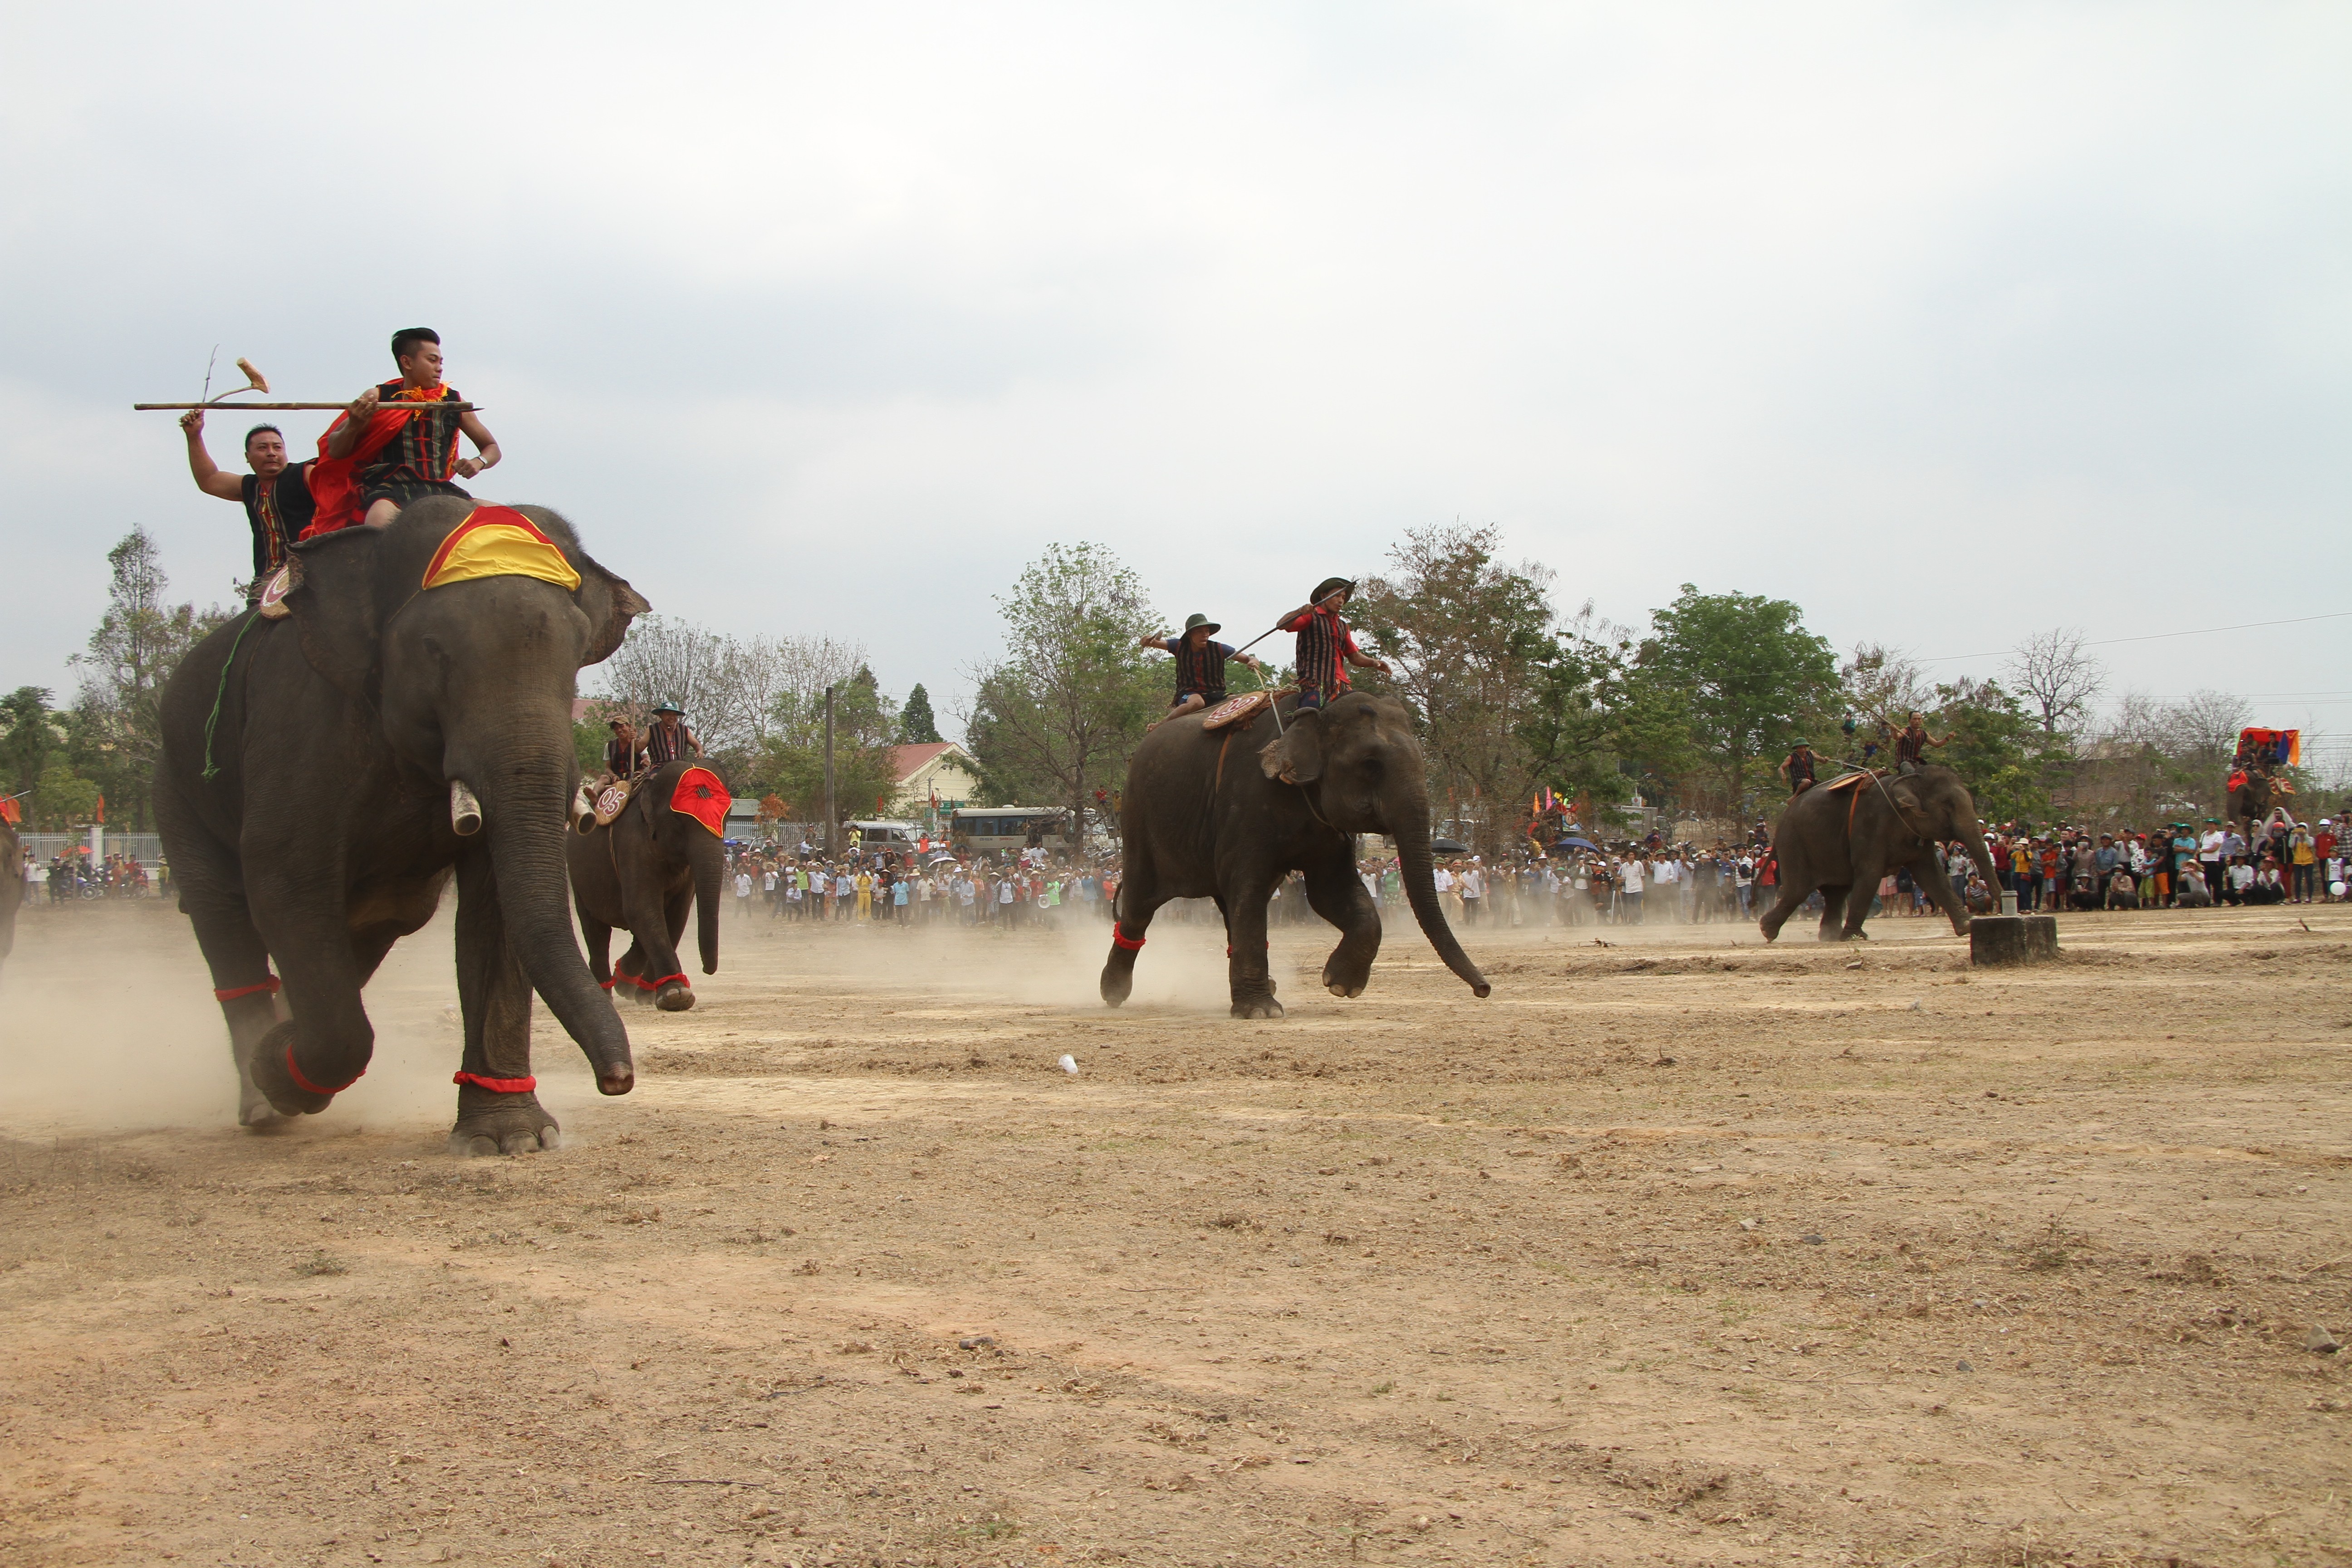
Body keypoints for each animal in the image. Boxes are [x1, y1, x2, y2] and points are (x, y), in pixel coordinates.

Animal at [154, 503, 654, 1152]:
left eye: (574, 658)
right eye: (434, 649)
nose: (618, 1080)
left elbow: (494, 906)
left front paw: (512, 1140)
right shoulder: (297, 721)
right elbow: (285, 882)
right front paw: (276, 1070)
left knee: (371, 927)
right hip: (176, 787)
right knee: (224, 915)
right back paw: (263, 1097)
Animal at [562, 761, 724, 1020]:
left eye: (726, 817)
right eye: (679, 820)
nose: (707, 970)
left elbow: (676, 915)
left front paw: (644, 992)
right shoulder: (631, 843)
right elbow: (641, 909)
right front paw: (676, 996)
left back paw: (625, 983)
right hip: (577, 876)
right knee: (595, 929)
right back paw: (605, 990)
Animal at [1096, 691, 1486, 1020]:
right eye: (1370, 764)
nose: (1484, 989)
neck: (1314, 716)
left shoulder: (1329, 830)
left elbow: (1330, 894)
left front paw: (1340, 985)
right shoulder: (1247, 801)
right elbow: (1252, 889)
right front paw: (1262, 1013)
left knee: (1227, 906)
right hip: (1139, 821)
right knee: (1141, 905)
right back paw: (1112, 993)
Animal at [1759, 761, 1994, 945]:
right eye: (1948, 805)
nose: (2000, 906)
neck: (1908, 780)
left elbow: (1931, 876)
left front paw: (1967, 926)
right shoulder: (1871, 824)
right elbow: (1870, 874)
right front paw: (1855, 937)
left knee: (1836, 892)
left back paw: (1829, 937)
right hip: (1794, 842)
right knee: (1799, 890)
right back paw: (1767, 931)